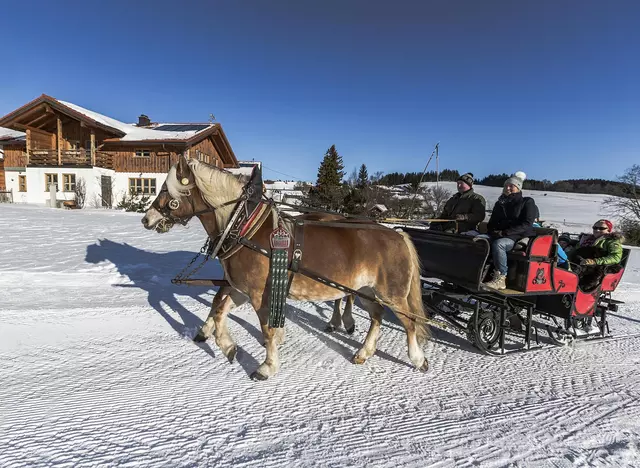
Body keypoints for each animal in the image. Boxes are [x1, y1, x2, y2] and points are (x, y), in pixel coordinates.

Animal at [141, 157, 430, 380]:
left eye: (167, 190)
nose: (146, 219)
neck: (245, 227)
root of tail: (398, 234)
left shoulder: (260, 294)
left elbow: (266, 328)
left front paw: (267, 367)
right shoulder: (242, 289)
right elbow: (220, 310)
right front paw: (228, 347)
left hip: (391, 294)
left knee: (409, 323)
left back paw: (417, 359)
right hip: (366, 292)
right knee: (377, 317)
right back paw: (363, 352)